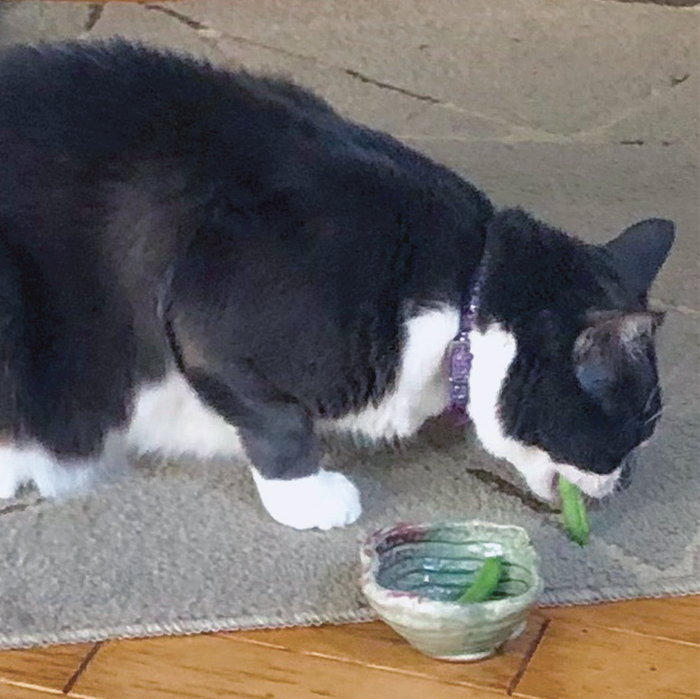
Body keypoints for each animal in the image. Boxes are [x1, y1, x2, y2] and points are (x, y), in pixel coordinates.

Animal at [0, 39, 676, 532]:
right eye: (641, 423)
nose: (629, 482)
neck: (463, 294)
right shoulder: (209, 313)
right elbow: (279, 422)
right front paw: (310, 499)